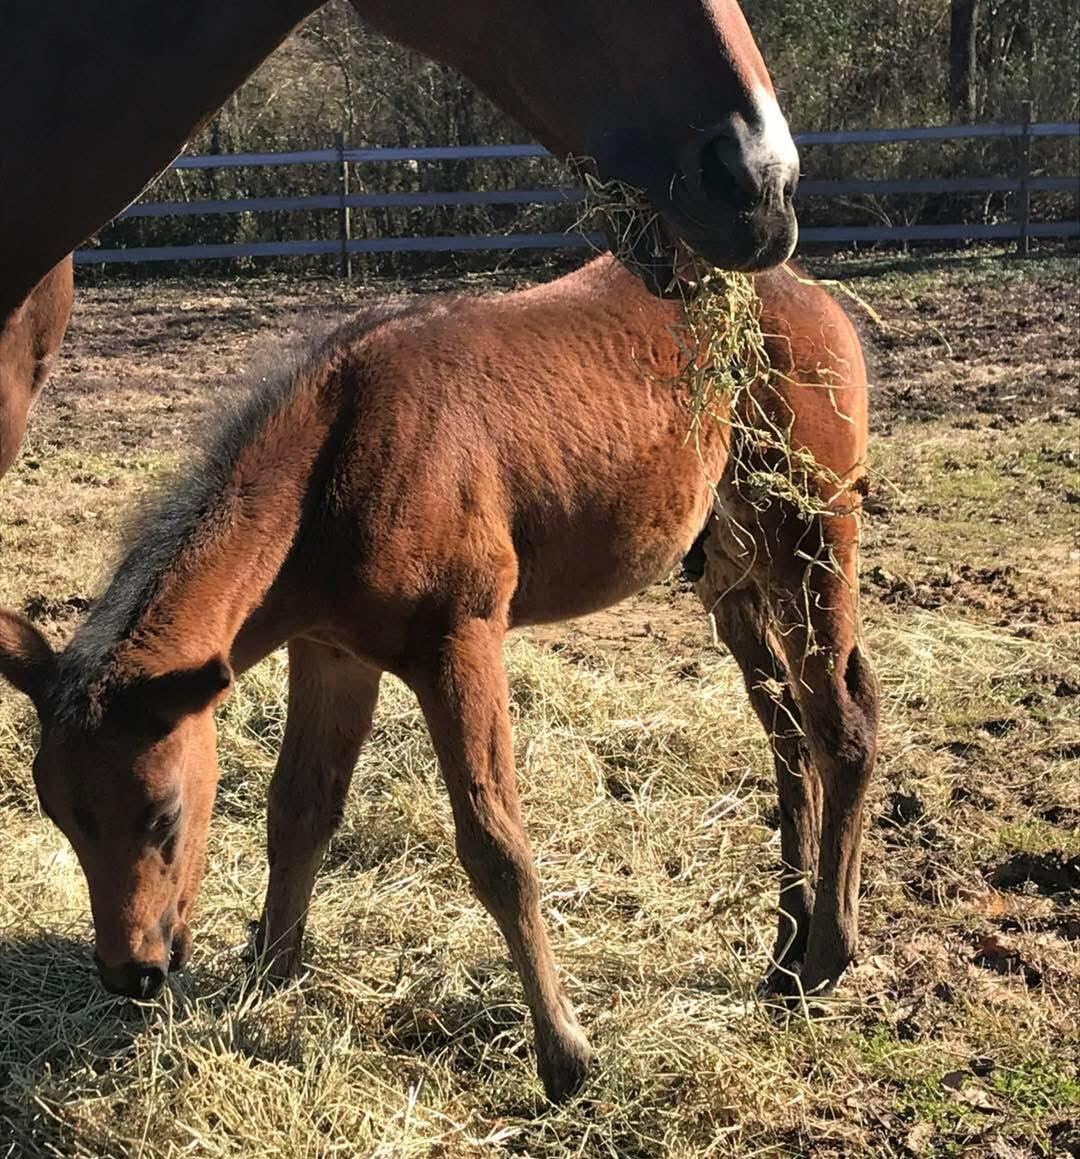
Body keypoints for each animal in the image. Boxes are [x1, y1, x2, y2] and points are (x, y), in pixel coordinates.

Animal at [0, 255, 877, 1102]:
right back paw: (785, 948)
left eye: (164, 814)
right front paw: (268, 981)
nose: (132, 973)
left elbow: (496, 848)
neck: (338, 459)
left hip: (809, 535)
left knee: (842, 722)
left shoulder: (462, 641)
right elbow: (299, 809)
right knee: (787, 731)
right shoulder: (332, 654)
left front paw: (566, 1054)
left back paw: (826, 952)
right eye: (60, 816)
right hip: (729, 567)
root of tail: (809, 293)